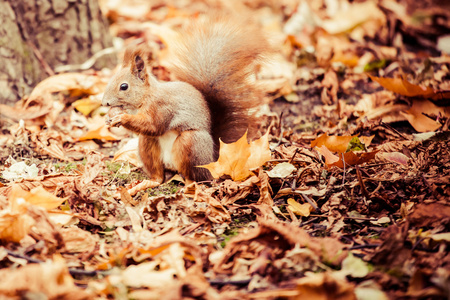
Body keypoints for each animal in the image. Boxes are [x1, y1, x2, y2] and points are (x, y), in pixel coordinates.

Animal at [103, 17, 270, 184]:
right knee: (158, 172)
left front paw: (122, 118)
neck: (145, 97)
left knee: (194, 175)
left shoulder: (162, 107)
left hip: (191, 143)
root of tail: (214, 159)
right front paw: (108, 119)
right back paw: (151, 182)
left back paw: (189, 185)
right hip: (148, 145)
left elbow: (154, 125)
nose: (104, 103)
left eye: (124, 86)